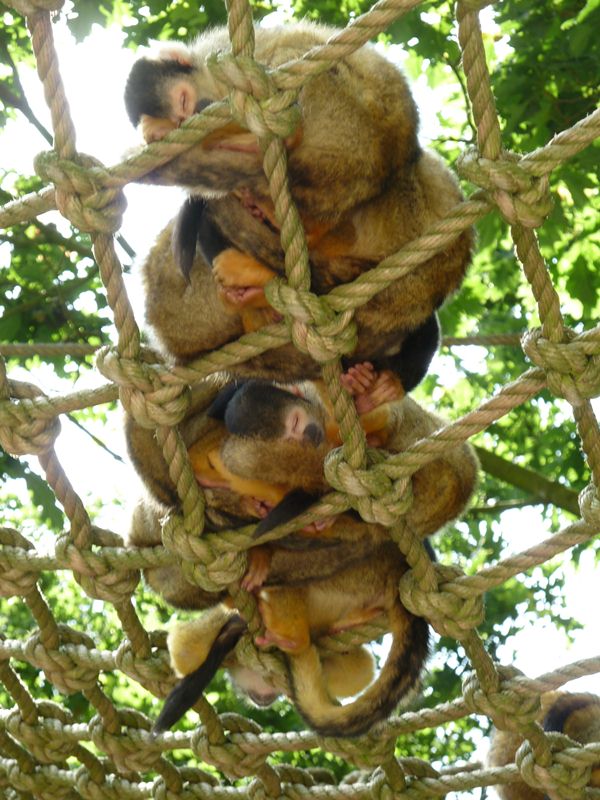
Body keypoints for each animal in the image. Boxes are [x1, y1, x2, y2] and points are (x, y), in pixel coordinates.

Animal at [123, 21, 473, 388]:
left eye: (184, 100)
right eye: (179, 116)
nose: (194, 113)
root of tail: (383, 155)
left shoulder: (220, 60)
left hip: (345, 122)